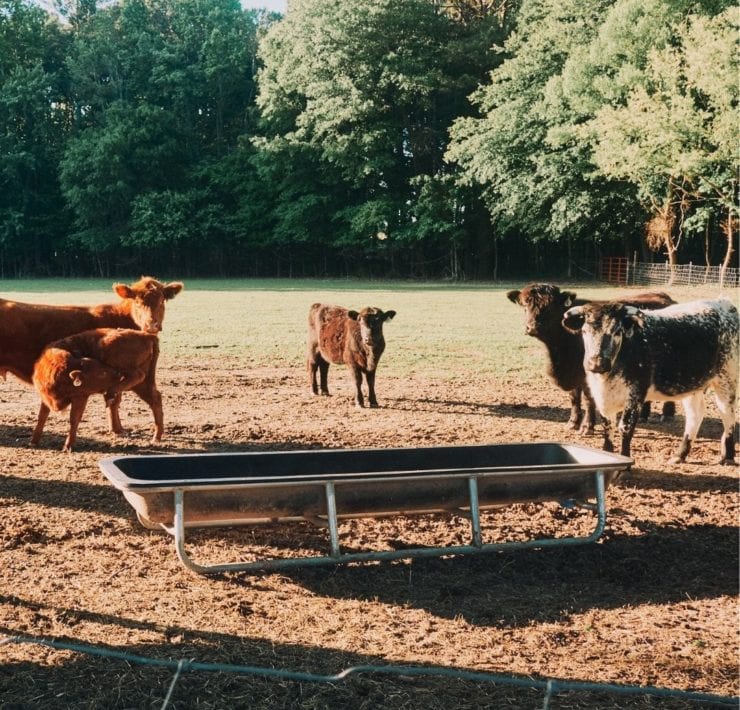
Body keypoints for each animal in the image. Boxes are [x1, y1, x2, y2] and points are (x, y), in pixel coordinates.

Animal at [0, 276, 182, 435]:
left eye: (162, 301)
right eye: (137, 301)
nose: (152, 325)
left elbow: (115, 399)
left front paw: (117, 428)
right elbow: (114, 400)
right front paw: (116, 429)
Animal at [31, 328, 163, 452]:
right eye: (102, 373)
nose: (117, 374)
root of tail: (146, 336)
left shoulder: (81, 397)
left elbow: (74, 419)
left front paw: (67, 446)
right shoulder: (46, 399)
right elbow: (42, 417)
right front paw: (33, 441)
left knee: (138, 376)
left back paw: (111, 393)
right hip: (143, 385)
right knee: (155, 399)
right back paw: (156, 438)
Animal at [506, 284, 675, 433]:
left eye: (550, 307)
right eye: (525, 306)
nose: (533, 327)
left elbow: (588, 399)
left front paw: (587, 426)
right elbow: (574, 398)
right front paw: (573, 422)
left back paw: (667, 414)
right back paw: (644, 416)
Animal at [563, 299, 738, 464]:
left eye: (617, 332)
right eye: (584, 331)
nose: (597, 363)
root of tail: (723, 303)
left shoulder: (636, 396)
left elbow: (625, 428)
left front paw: (624, 458)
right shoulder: (601, 397)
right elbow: (607, 426)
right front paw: (607, 453)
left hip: (727, 379)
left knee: (728, 415)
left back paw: (728, 457)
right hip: (693, 385)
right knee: (695, 414)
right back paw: (679, 455)